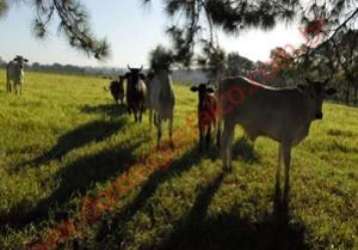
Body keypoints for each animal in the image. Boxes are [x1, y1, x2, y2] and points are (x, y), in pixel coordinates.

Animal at [220, 76, 338, 207]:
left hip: (232, 123)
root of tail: (227, 80)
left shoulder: (282, 140)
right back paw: (224, 167)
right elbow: (287, 163)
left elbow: (279, 158)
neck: (301, 107)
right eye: (311, 95)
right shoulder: (287, 139)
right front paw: (286, 189)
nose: (319, 114)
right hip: (229, 120)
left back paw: (230, 166)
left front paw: (277, 181)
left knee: (230, 141)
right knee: (224, 141)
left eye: (324, 95)